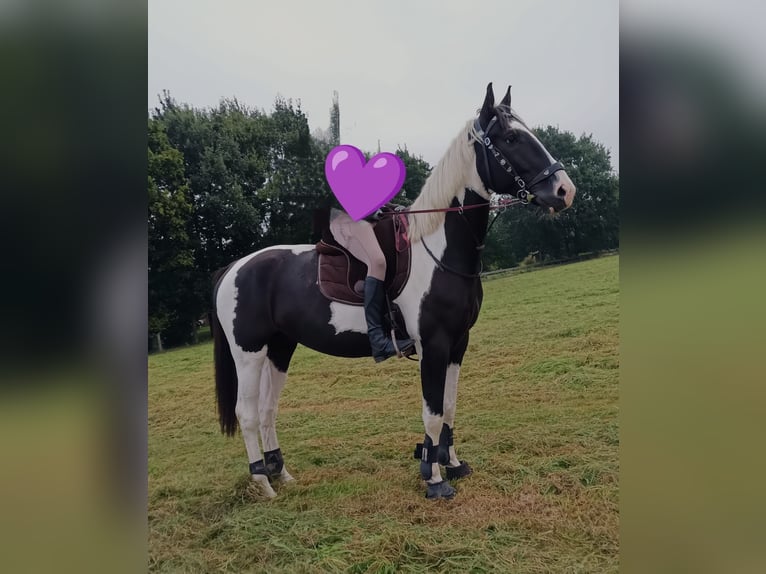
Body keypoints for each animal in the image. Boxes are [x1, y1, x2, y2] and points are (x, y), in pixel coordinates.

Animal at [211, 83, 576, 500]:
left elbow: (449, 406)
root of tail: (233, 268)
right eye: (512, 139)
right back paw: (262, 482)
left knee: (268, 409)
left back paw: (281, 474)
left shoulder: (458, 343)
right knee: (247, 412)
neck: (440, 248)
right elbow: (432, 412)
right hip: (249, 353)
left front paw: (452, 463)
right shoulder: (434, 344)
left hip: (279, 349)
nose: (565, 190)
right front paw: (433, 478)